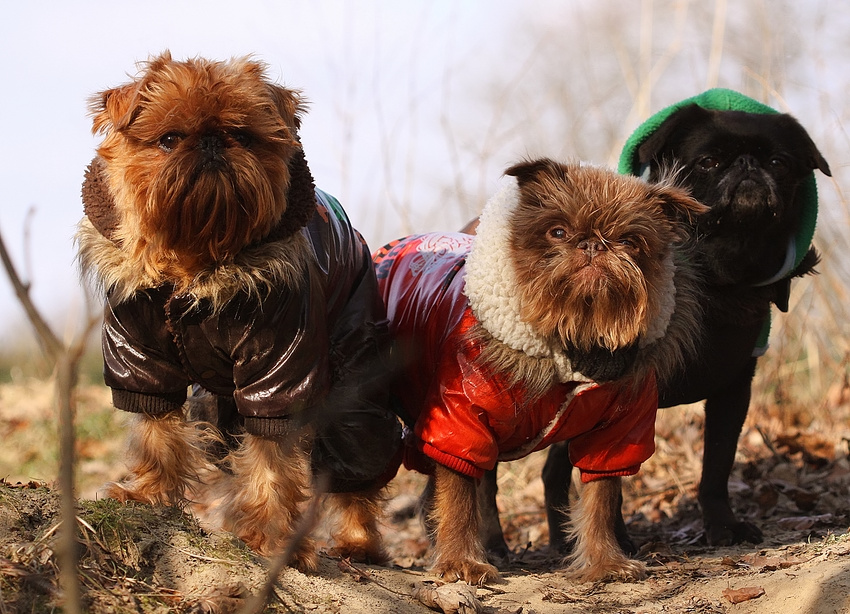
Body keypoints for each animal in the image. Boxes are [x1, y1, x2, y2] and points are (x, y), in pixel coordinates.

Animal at [476, 92, 828, 560]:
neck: (718, 276)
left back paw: (561, 541)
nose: (748, 166)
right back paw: (494, 544)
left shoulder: (734, 391)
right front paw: (619, 543)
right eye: (708, 162)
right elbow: (610, 480)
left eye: (778, 162)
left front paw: (722, 526)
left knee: (552, 472)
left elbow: (717, 466)